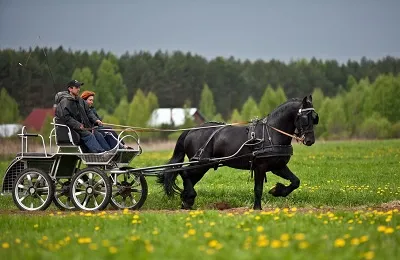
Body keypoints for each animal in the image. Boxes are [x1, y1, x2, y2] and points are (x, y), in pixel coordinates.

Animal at [156, 94, 318, 210]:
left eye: (315, 118)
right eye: (305, 118)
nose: (310, 140)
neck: (271, 134)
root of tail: (191, 130)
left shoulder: (278, 166)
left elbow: (295, 181)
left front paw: (277, 191)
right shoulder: (260, 166)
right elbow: (258, 189)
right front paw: (257, 208)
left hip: (202, 166)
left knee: (188, 177)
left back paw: (186, 202)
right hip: (200, 164)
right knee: (184, 173)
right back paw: (189, 197)